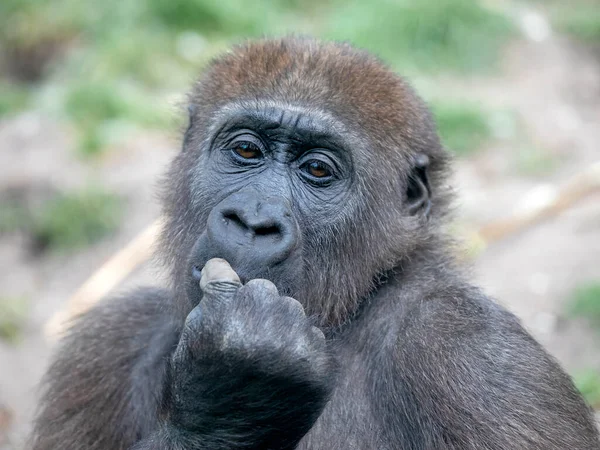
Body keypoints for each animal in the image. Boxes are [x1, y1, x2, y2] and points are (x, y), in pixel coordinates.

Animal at [31, 38, 596, 450]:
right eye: (246, 150)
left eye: (318, 171)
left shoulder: (474, 352)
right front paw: (234, 399)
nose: (253, 221)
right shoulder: (106, 344)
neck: (346, 314)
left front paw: (237, 384)